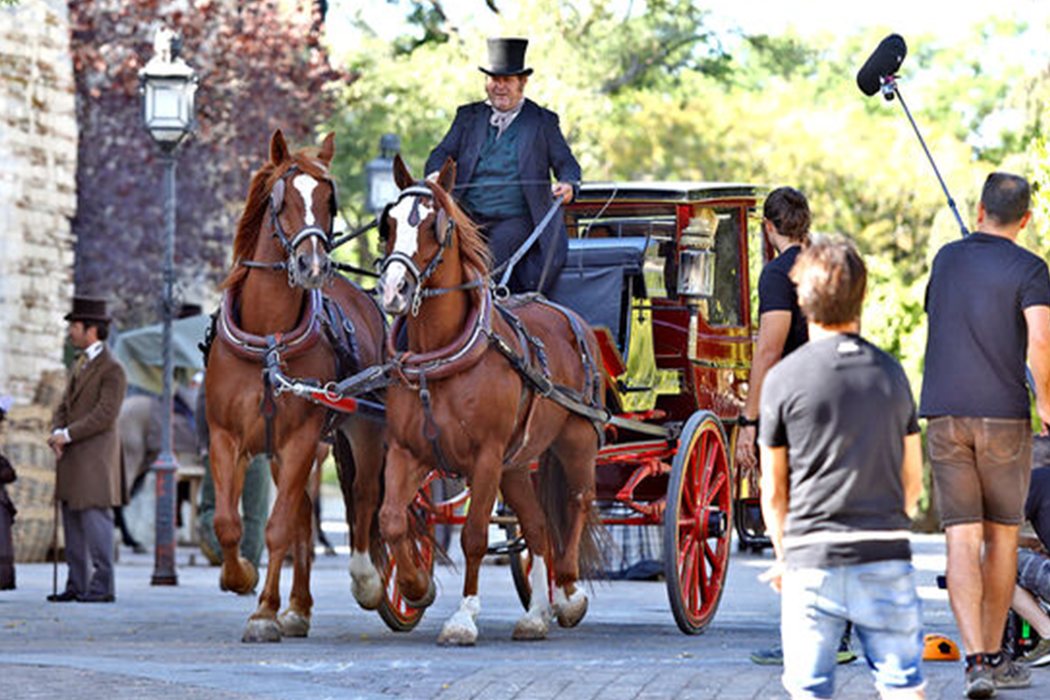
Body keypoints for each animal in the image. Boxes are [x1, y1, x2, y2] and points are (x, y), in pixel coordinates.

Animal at [202, 130, 388, 642]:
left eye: (329, 199)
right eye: (280, 199)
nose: (313, 265)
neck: (269, 337)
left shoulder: (302, 438)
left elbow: (277, 529)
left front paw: (263, 613)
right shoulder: (226, 437)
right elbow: (228, 522)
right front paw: (239, 576)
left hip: (360, 432)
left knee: (363, 497)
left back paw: (368, 580)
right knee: (306, 517)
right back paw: (298, 608)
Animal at [377, 154, 609, 646]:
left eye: (436, 226)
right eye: (389, 223)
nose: (393, 291)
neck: (439, 357)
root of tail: (569, 316)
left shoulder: (484, 456)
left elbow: (475, 536)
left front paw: (464, 617)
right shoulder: (407, 451)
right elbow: (392, 518)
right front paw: (415, 585)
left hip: (576, 439)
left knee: (578, 503)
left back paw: (568, 593)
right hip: (517, 463)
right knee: (539, 525)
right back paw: (537, 613)